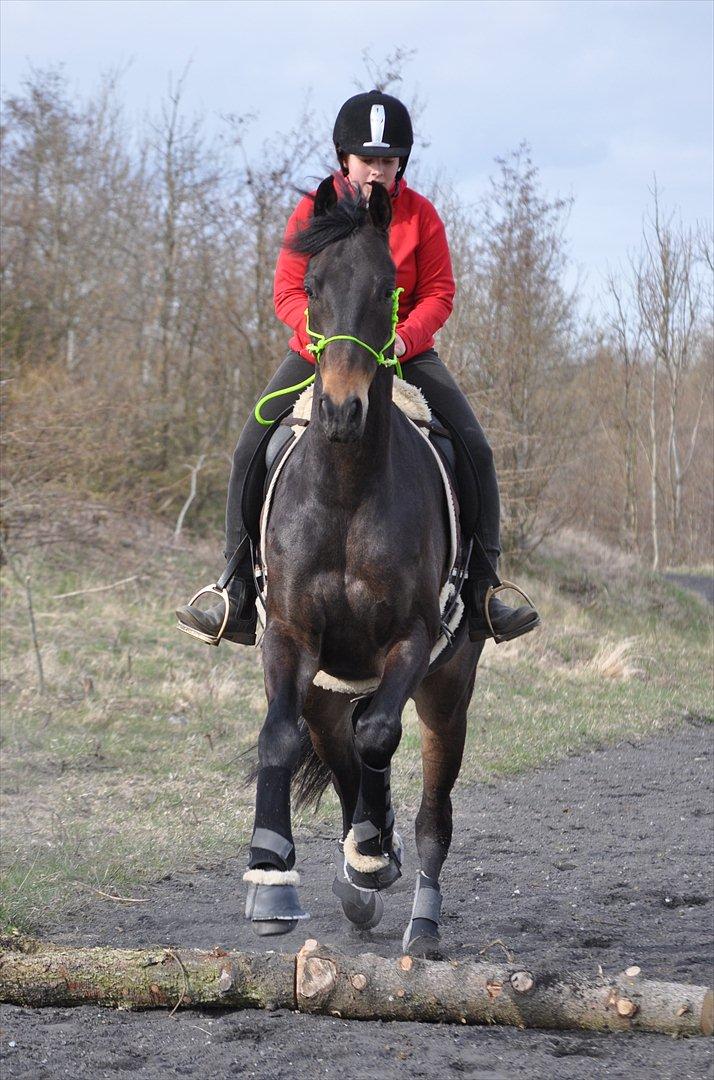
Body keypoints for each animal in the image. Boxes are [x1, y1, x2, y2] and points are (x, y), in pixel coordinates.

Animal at [241, 174, 481, 954]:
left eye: (387, 290)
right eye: (312, 285)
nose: (342, 411)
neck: (346, 488)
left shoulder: (410, 638)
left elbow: (380, 734)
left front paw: (374, 854)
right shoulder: (289, 636)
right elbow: (280, 739)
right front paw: (271, 879)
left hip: (448, 689)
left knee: (427, 801)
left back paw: (415, 912)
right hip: (325, 686)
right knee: (341, 749)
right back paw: (363, 859)